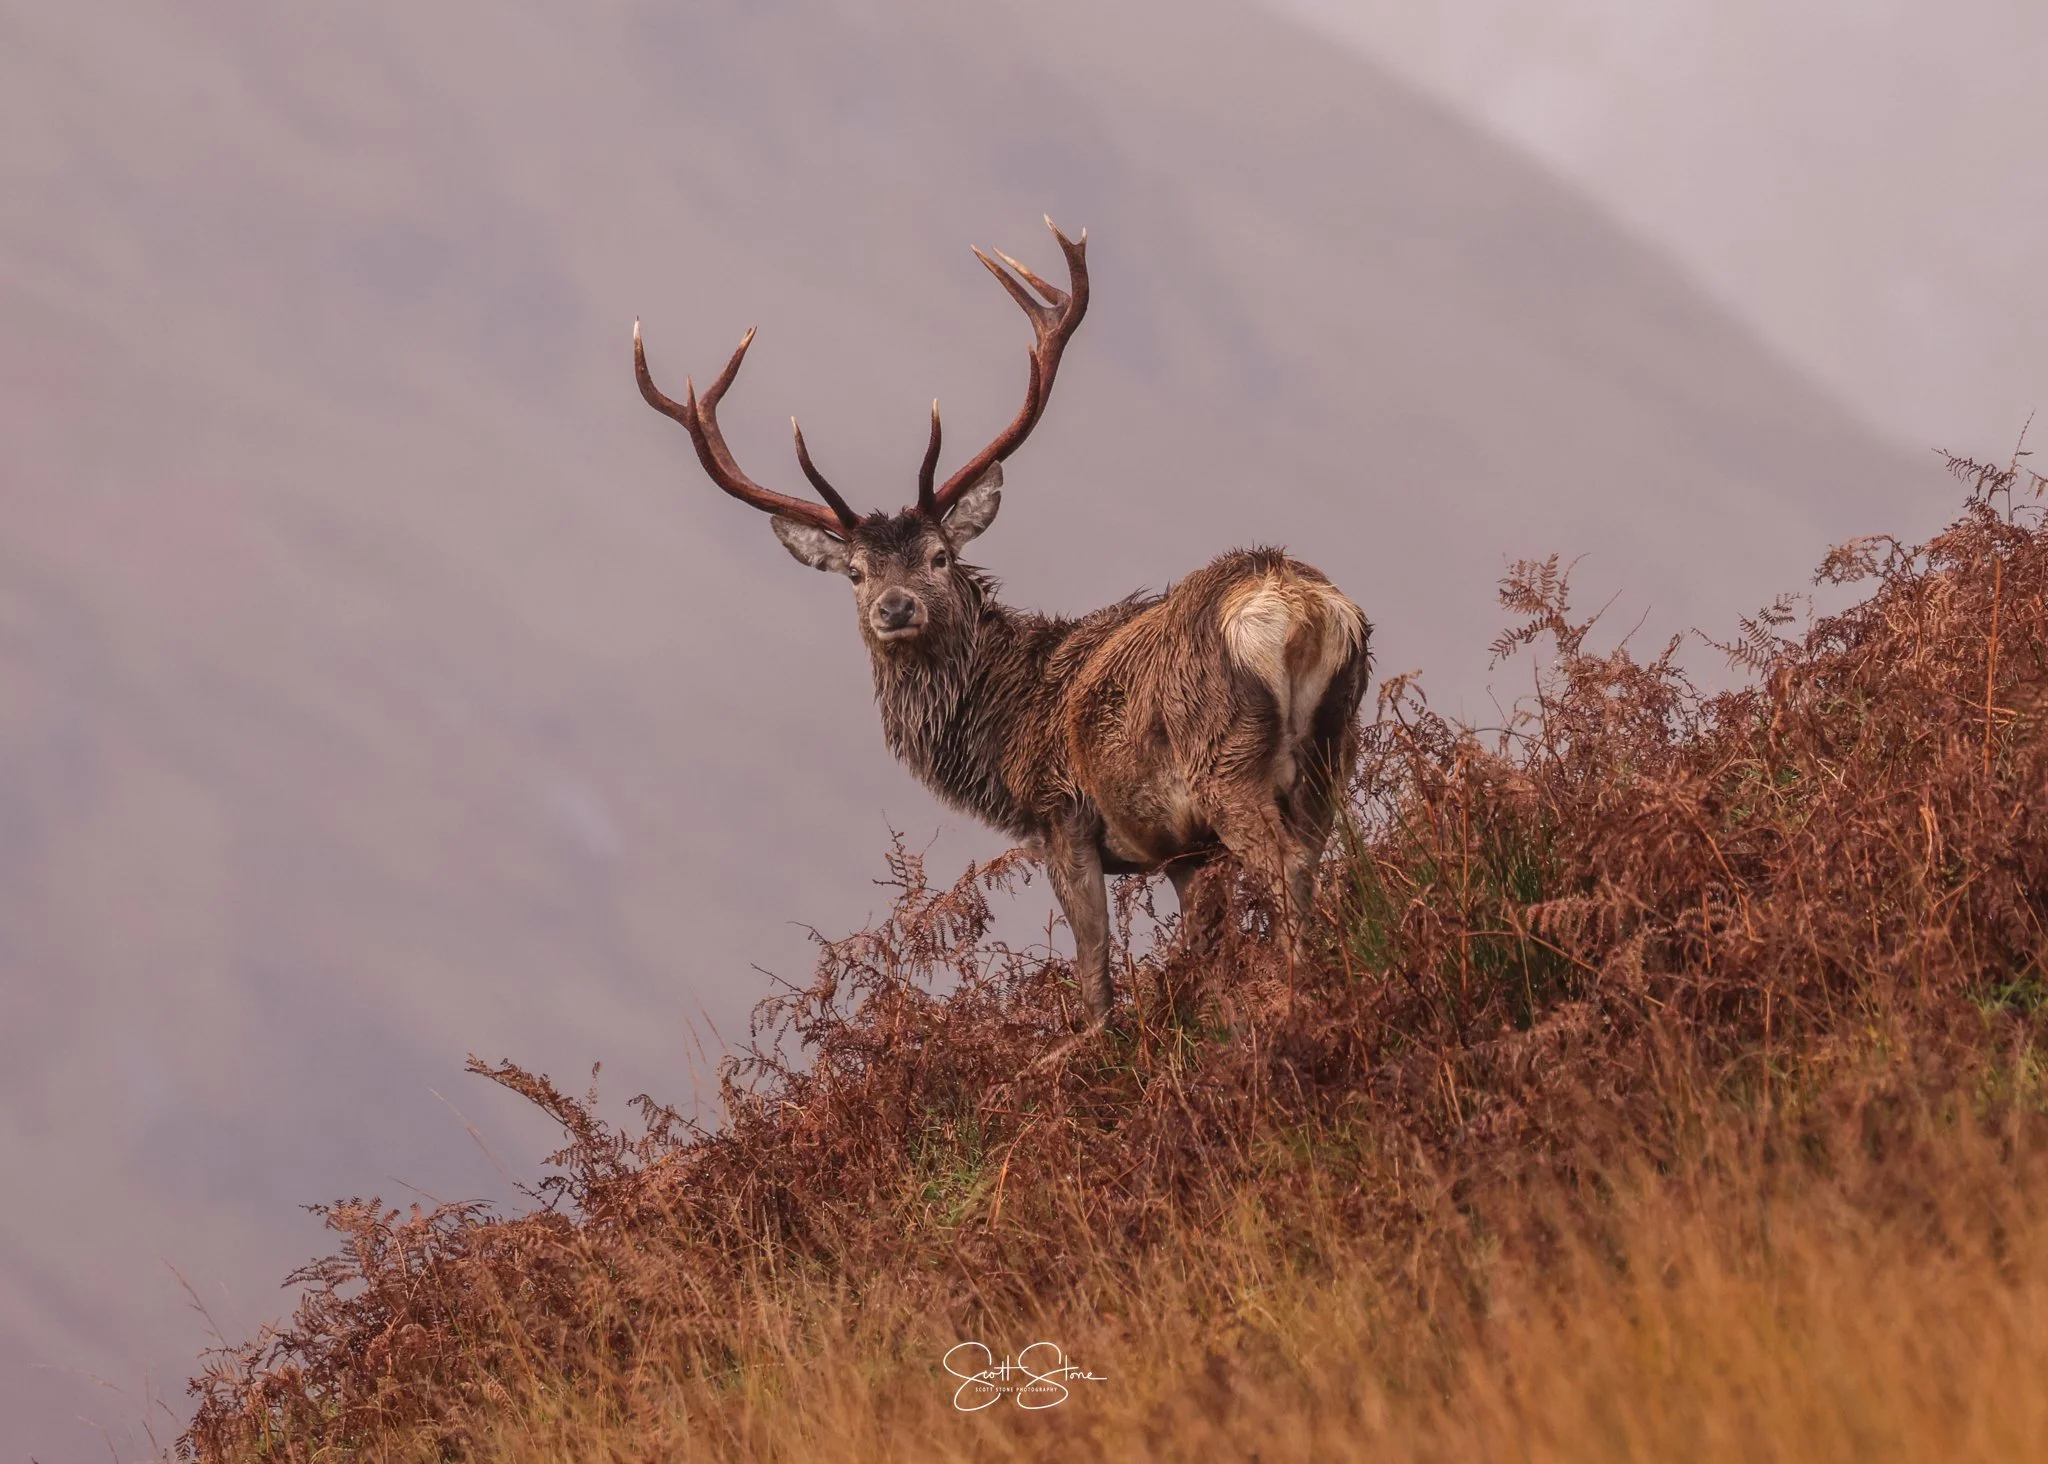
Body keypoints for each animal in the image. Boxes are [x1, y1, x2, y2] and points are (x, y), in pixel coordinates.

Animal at [632, 219, 1371, 1026]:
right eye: (855, 574)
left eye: (940, 555)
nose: (896, 608)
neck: (1002, 731)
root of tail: (1298, 609)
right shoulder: (1178, 848)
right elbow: (1204, 949)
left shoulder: (1062, 815)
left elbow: (1094, 967)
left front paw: (1098, 1038)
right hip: (1335, 742)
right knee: (1325, 853)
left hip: (1225, 764)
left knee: (1286, 865)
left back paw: (1295, 1003)